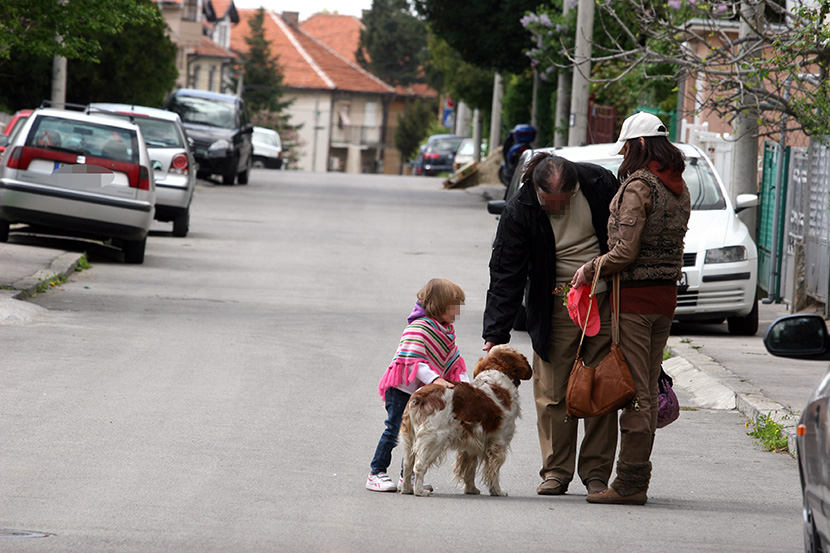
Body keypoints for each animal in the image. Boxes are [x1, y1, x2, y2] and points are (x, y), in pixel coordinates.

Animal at [402, 344, 532, 496]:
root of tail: (419, 396)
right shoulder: (498, 442)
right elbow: (493, 471)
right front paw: (497, 491)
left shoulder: (471, 444)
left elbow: (469, 469)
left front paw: (471, 489)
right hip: (434, 440)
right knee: (419, 466)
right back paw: (420, 491)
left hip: (409, 439)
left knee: (407, 465)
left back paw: (406, 489)